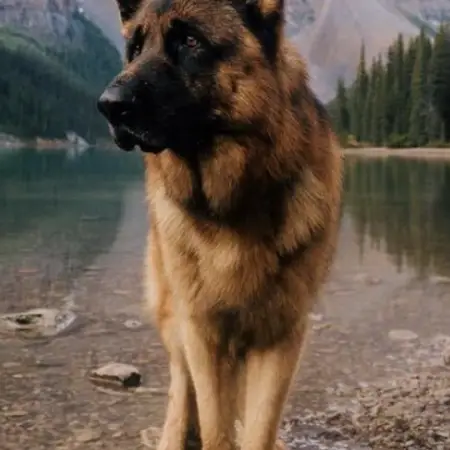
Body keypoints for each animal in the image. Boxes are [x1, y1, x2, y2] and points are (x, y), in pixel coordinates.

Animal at [97, 0, 342, 450]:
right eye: (135, 49)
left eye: (190, 41)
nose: (109, 104)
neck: (231, 203)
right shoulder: (203, 333)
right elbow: (213, 425)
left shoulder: (279, 337)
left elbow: (259, 428)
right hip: (176, 314)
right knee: (182, 384)